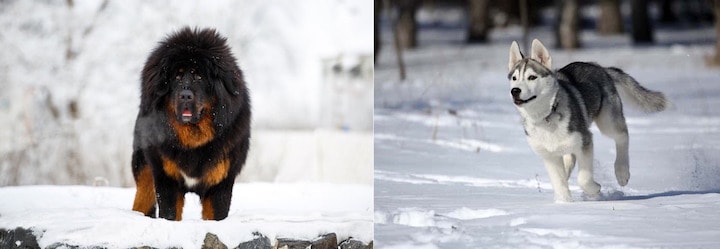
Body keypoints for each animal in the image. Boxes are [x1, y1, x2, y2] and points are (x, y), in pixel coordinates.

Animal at [131, 26, 252, 220]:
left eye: (199, 77)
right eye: (177, 77)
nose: (185, 96)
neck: (194, 140)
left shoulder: (220, 183)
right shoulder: (166, 179)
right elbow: (169, 214)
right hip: (144, 168)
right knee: (143, 197)